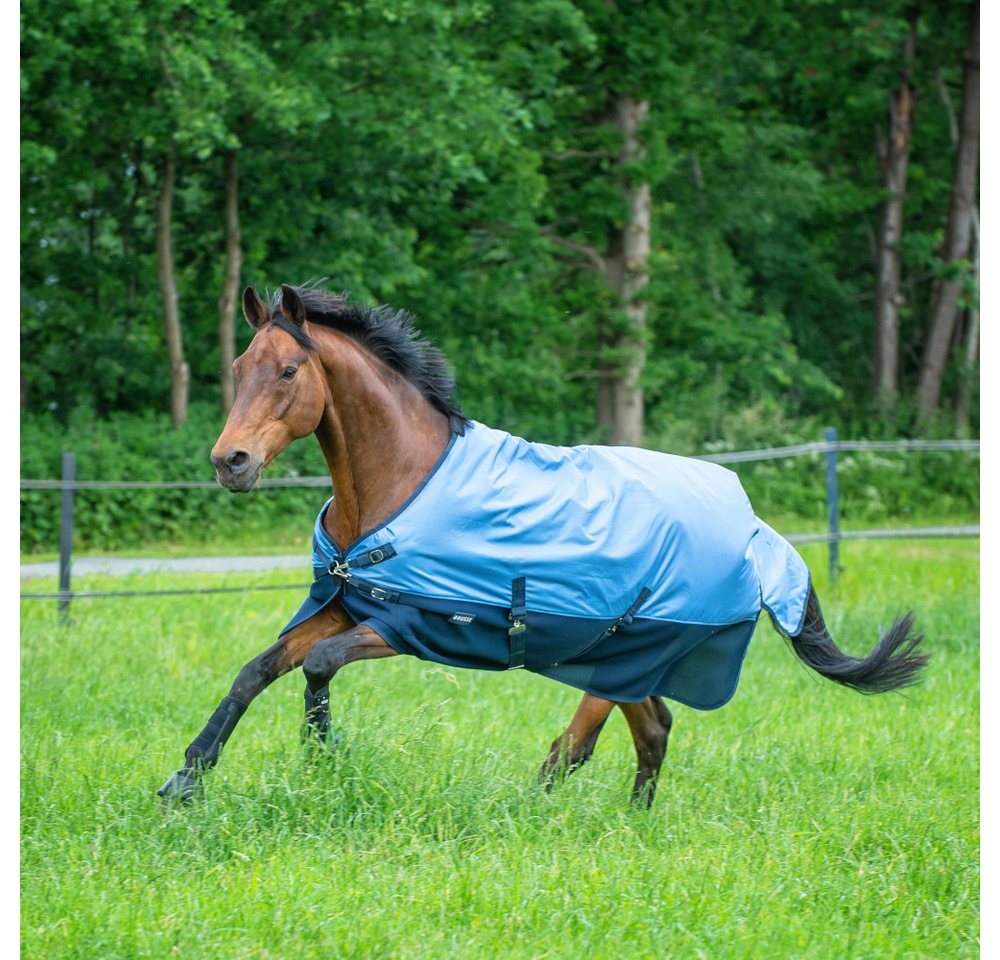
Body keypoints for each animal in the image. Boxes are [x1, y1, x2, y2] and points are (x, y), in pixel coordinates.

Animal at [157, 283, 927, 807]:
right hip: (621, 659)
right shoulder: (349, 604)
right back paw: (627, 819)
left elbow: (317, 667)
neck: (401, 483)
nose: (230, 462)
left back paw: (535, 811)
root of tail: (758, 533)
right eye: (239, 366)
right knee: (651, 731)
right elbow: (257, 671)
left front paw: (323, 760)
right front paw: (187, 781)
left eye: (288, 371)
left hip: (626, 656)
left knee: (586, 742)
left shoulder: (413, 626)